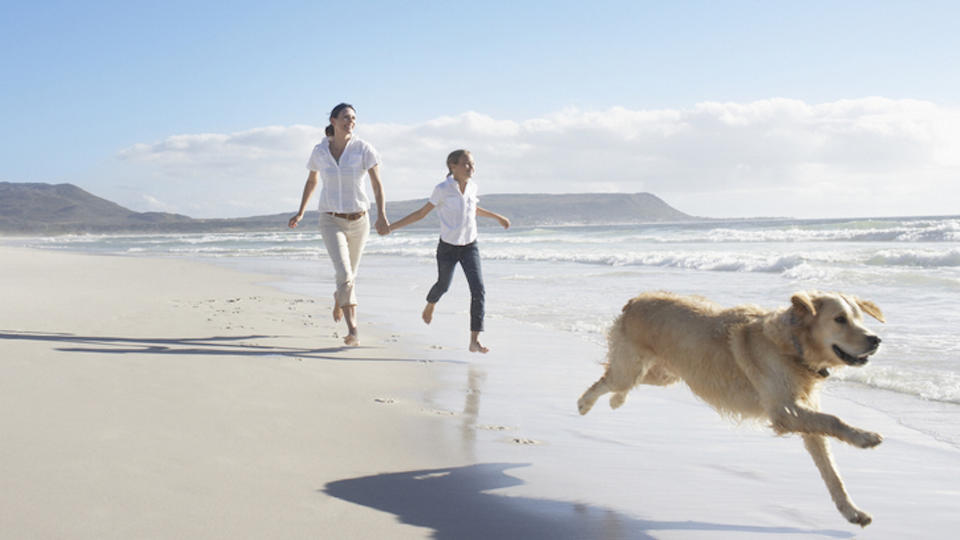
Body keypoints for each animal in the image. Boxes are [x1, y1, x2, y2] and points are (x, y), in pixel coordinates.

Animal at [576, 292, 884, 528]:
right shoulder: (785, 411)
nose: (875, 340)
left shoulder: (805, 417)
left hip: (665, 374)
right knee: (606, 379)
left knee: (620, 379)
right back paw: (585, 403)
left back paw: (617, 401)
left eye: (860, 318)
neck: (793, 347)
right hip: (634, 369)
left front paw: (852, 511)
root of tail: (635, 300)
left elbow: (832, 473)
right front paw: (864, 437)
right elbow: (833, 419)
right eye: (839, 319)